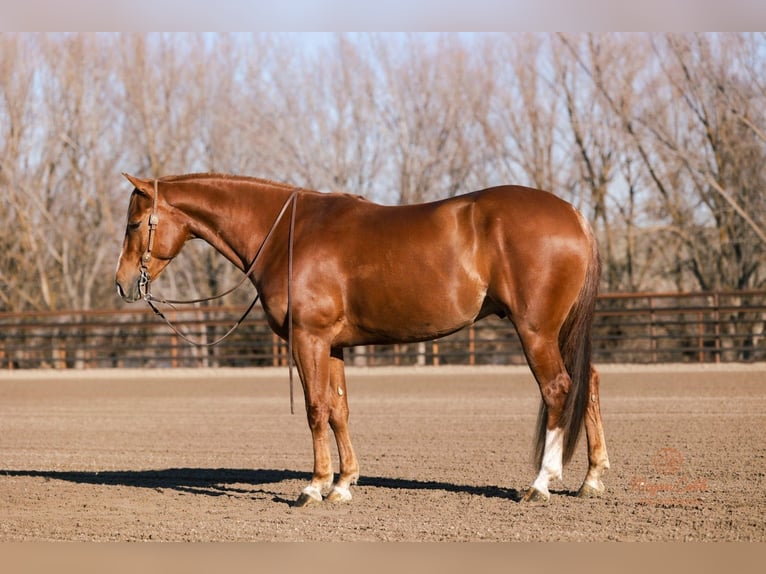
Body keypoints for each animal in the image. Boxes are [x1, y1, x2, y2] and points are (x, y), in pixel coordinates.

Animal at [115, 172, 610, 506]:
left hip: (535, 331)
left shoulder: (308, 339)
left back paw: (541, 483)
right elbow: (339, 411)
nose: (122, 284)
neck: (288, 235)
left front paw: (314, 486)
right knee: (588, 384)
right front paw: (343, 483)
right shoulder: (332, 345)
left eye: (135, 224)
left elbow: (316, 409)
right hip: (560, 331)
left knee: (558, 389)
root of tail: (574, 216)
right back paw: (591, 478)